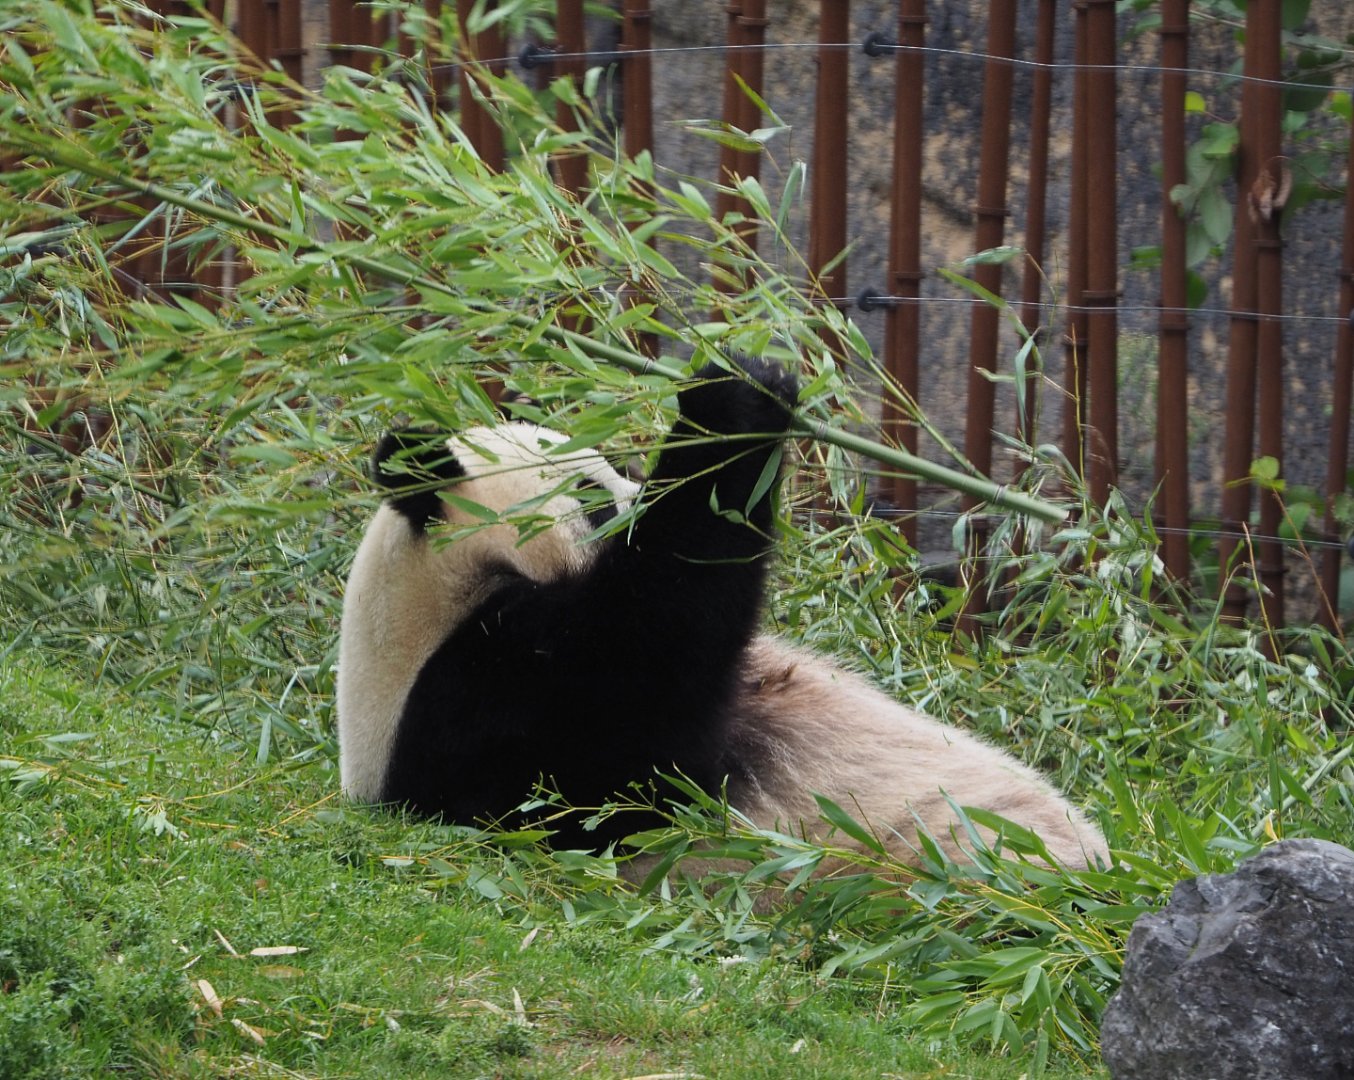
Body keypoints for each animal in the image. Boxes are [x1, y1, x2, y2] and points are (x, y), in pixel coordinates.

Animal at [336, 356, 1107, 869]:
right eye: (590, 492)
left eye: (617, 465)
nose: (639, 497)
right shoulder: (484, 714)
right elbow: (640, 707)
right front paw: (734, 399)